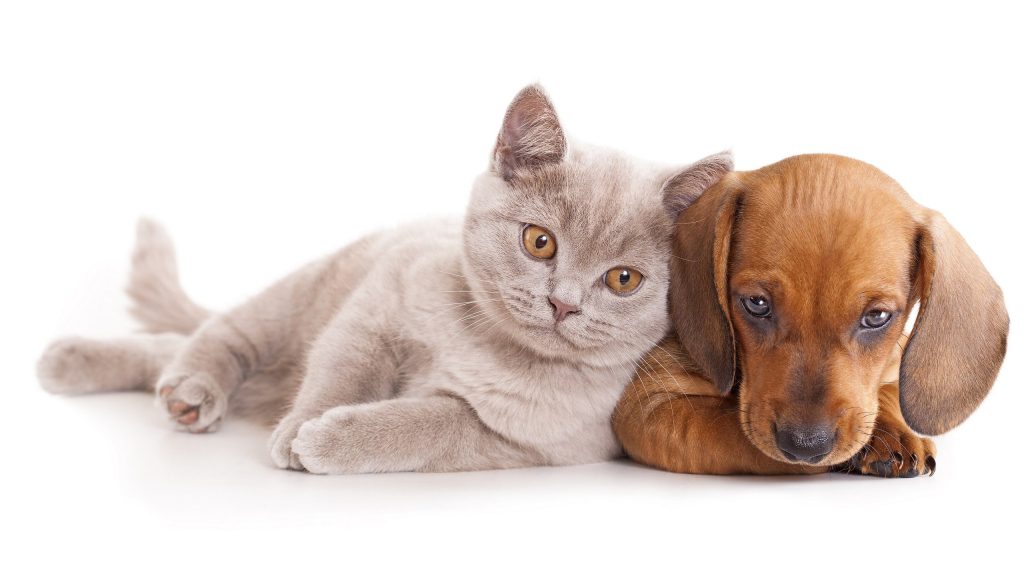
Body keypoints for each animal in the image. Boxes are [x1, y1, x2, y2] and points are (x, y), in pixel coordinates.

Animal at [37, 84, 729, 471]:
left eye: (622, 280)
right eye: (540, 242)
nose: (562, 304)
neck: (486, 344)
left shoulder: (531, 440)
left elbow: (424, 426)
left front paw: (326, 441)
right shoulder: (377, 304)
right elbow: (342, 367)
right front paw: (302, 427)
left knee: (173, 344)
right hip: (303, 295)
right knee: (219, 334)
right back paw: (180, 384)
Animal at [614, 153, 1007, 475]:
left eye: (877, 317)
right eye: (756, 304)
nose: (806, 445)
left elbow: (886, 391)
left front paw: (893, 431)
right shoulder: (650, 409)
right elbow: (741, 436)